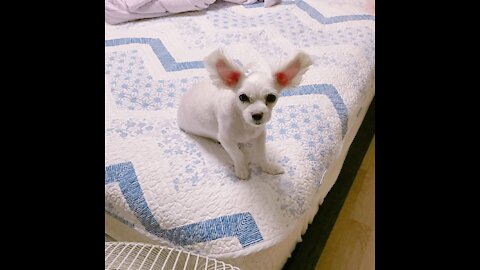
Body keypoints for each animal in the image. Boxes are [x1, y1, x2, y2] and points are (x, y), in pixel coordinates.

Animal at [178, 48, 314, 179]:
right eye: (242, 97)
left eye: (271, 97)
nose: (257, 114)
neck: (244, 123)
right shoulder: (226, 139)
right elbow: (238, 155)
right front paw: (242, 170)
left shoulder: (260, 135)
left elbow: (261, 154)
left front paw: (268, 167)